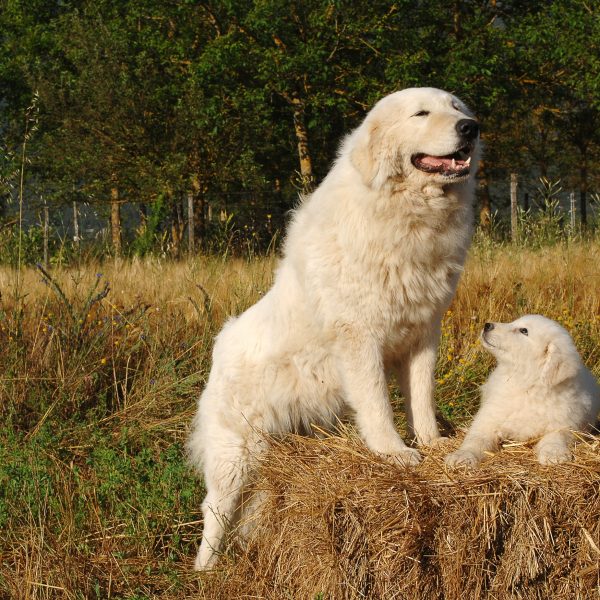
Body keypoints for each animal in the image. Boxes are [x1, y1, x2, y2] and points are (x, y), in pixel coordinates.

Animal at [190, 86, 480, 568]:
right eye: (421, 113)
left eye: (457, 108)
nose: (470, 128)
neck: (403, 212)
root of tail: (220, 346)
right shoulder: (360, 339)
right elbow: (377, 405)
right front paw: (394, 453)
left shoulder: (423, 334)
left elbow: (421, 397)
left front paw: (433, 442)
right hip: (235, 456)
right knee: (214, 510)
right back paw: (206, 572)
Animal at [446, 314, 600, 468]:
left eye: (524, 331)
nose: (487, 325)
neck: (526, 386)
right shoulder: (488, 419)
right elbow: (476, 439)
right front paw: (463, 456)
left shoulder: (566, 424)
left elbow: (556, 436)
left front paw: (553, 453)